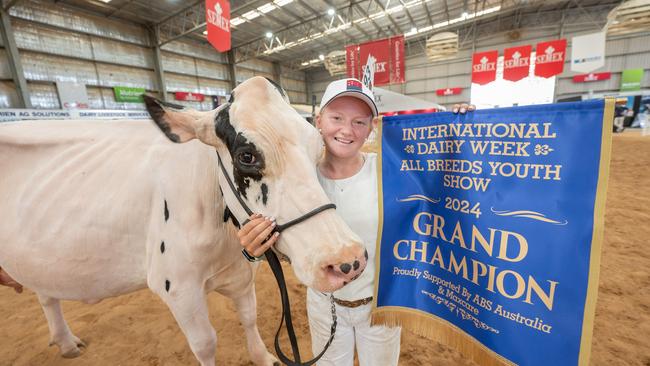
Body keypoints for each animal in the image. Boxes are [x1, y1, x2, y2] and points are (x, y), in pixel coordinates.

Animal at [0, 76, 364, 366]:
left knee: (46, 294)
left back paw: (65, 342)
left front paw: (264, 357)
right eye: (246, 156)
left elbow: (249, 317)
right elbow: (205, 344)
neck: (224, 239)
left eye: (318, 146)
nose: (346, 260)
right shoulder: (177, 287)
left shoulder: (242, 273)